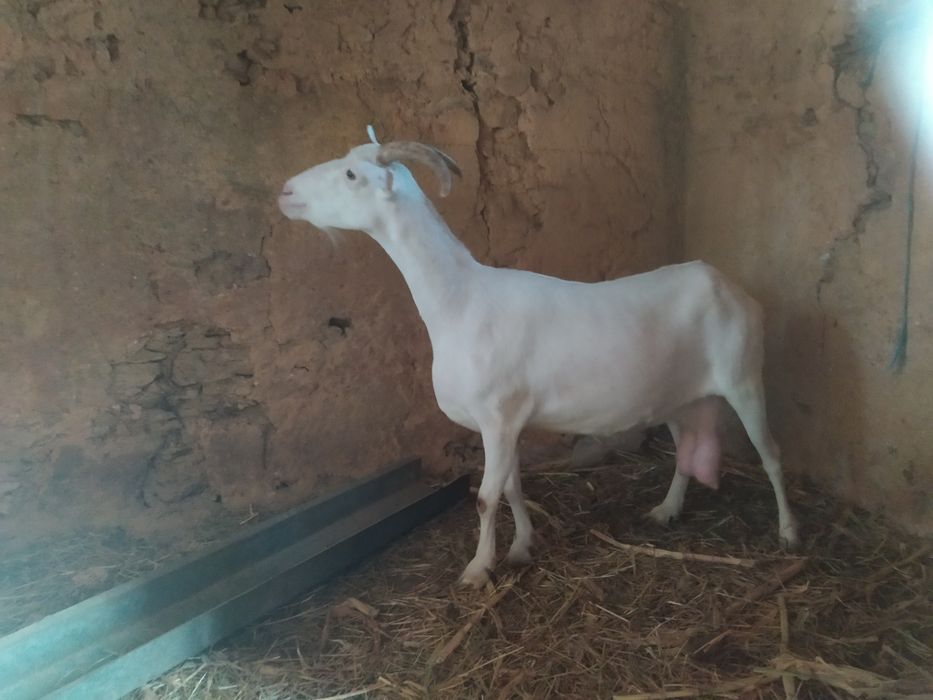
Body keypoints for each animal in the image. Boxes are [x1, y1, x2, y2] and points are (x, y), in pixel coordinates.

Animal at [278, 129, 798, 588]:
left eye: (351, 174)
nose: (285, 191)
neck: (460, 301)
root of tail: (732, 287)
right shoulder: (506, 423)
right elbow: (511, 488)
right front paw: (522, 546)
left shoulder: (498, 416)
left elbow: (486, 498)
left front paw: (477, 570)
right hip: (680, 397)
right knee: (687, 454)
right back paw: (666, 510)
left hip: (744, 377)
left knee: (771, 453)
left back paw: (789, 531)